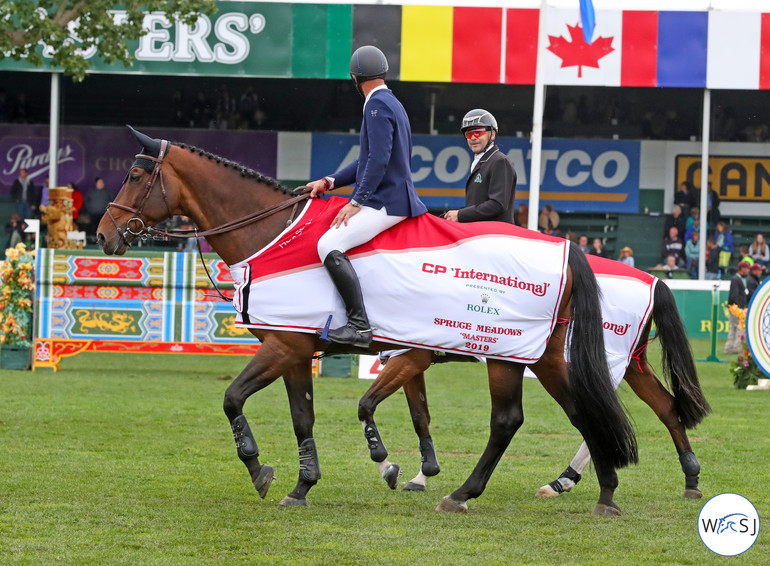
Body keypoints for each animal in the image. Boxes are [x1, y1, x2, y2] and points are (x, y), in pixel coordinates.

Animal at [96, 127, 636, 516]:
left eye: (135, 177)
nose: (103, 235)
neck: (272, 232)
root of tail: (569, 248)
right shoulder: (295, 350)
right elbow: (303, 417)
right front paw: (302, 486)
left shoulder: (282, 348)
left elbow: (232, 400)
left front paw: (259, 469)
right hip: (541, 356)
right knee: (581, 410)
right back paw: (604, 492)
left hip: (505, 352)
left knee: (510, 420)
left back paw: (465, 494)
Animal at [364, 270, 712, 502]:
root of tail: (655, 282)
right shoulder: (409, 357)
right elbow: (419, 415)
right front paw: (422, 474)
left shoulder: (411, 356)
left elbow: (379, 404)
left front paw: (397, 467)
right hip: (631, 366)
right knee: (664, 408)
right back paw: (690, 478)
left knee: (600, 419)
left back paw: (565, 481)